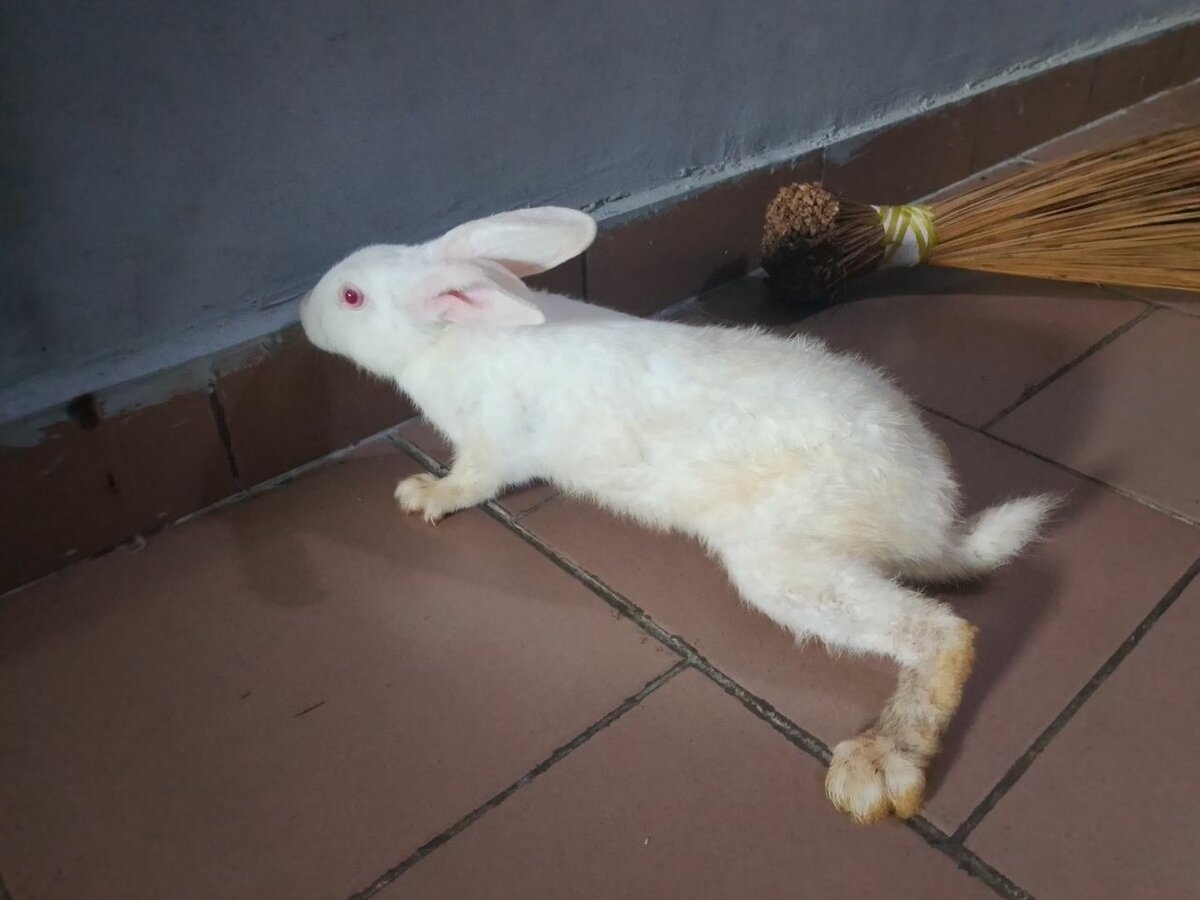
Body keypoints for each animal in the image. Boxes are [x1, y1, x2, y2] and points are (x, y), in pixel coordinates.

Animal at [299, 206, 1054, 825]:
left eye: (352, 297)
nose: (303, 316)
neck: (450, 336)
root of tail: (935, 517)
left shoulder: (489, 448)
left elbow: (470, 482)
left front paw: (421, 496)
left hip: (782, 567)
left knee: (944, 635)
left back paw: (874, 770)